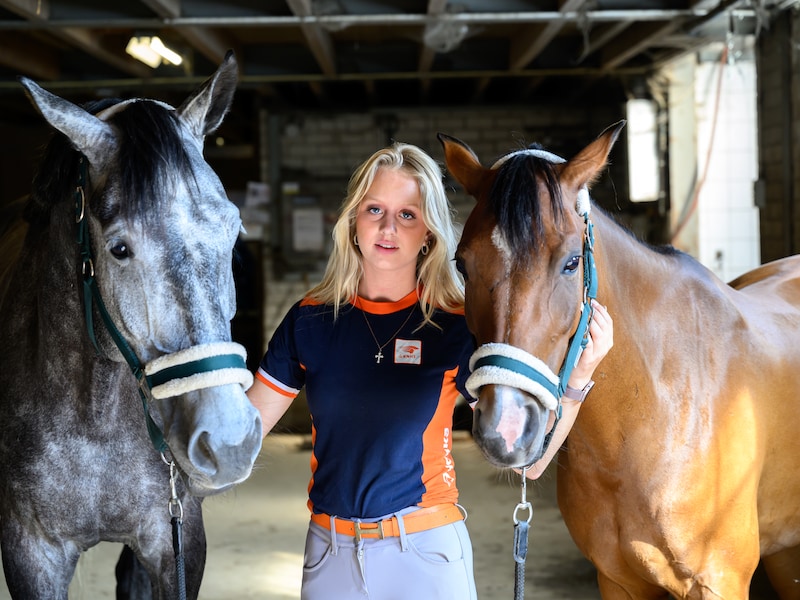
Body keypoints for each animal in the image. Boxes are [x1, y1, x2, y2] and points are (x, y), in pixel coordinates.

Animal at [0, 52, 263, 599]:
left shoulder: (174, 542)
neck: (93, 413)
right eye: (120, 248)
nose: (229, 441)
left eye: (235, 230)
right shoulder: (30, 552)